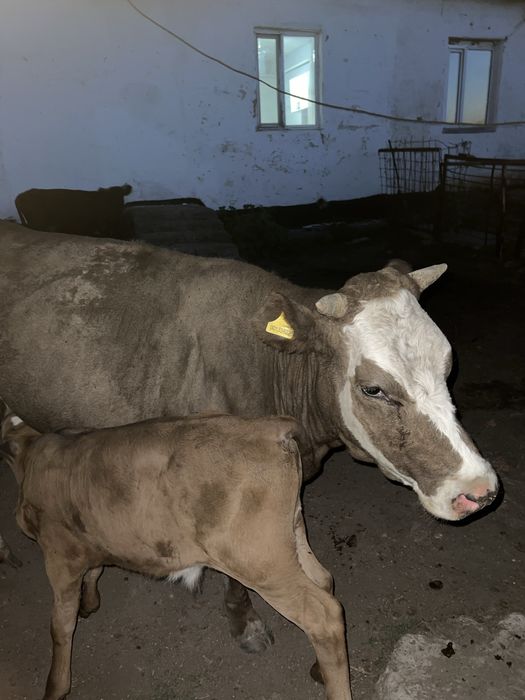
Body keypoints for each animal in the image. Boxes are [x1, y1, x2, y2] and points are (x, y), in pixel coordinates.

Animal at [1, 411, 351, 700]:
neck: (32, 455)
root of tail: (270, 427)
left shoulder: (60, 556)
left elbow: (60, 625)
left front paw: (55, 687)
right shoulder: (90, 541)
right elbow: (94, 573)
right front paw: (90, 603)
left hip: (260, 560)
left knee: (323, 615)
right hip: (290, 537)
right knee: (324, 580)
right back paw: (318, 669)